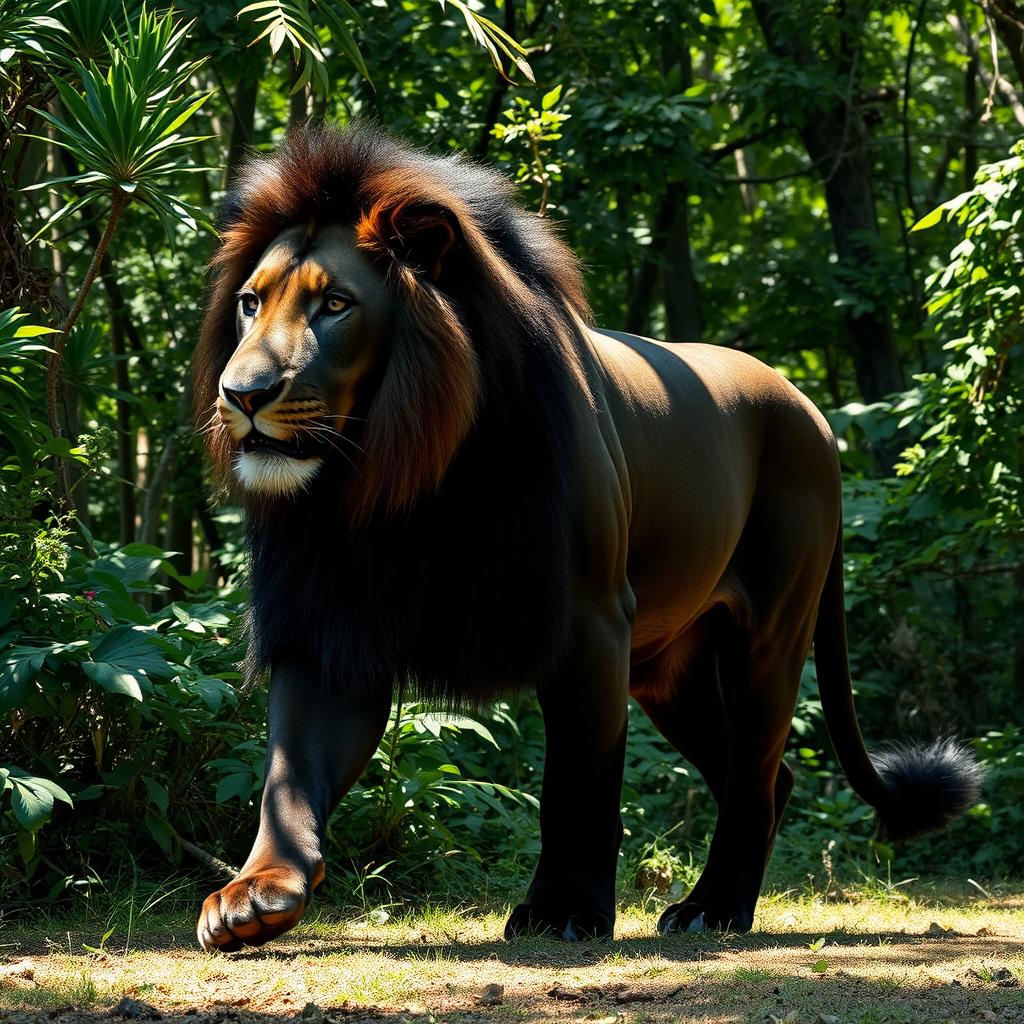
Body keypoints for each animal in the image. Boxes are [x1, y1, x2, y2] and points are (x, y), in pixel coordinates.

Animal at [193, 124, 980, 951]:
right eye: (250, 304)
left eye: (336, 304)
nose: (242, 394)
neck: (404, 478)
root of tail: (811, 409)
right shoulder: (328, 627)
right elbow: (291, 773)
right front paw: (255, 895)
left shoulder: (589, 619)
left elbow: (578, 778)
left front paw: (563, 909)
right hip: (672, 670)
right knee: (764, 773)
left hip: (770, 633)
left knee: (758, 773)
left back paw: (712, 908)